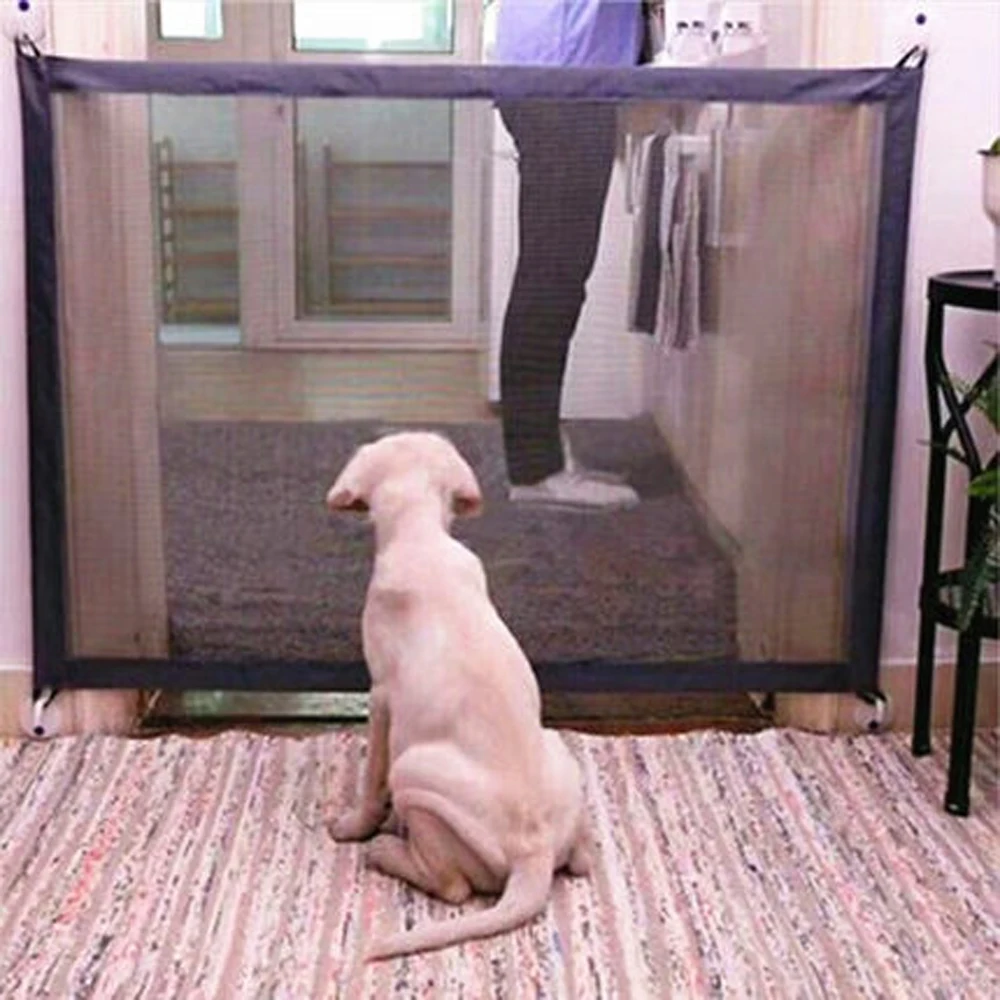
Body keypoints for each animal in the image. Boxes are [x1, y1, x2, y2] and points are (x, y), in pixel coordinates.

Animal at [325, 431, 591, 961]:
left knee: (453, 887)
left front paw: (355, 825)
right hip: (555, 745)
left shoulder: (380, 696)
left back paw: (385, 851)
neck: (421, 536)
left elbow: (371, 780)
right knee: (582, 860)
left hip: (415, 779)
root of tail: (533, 854)